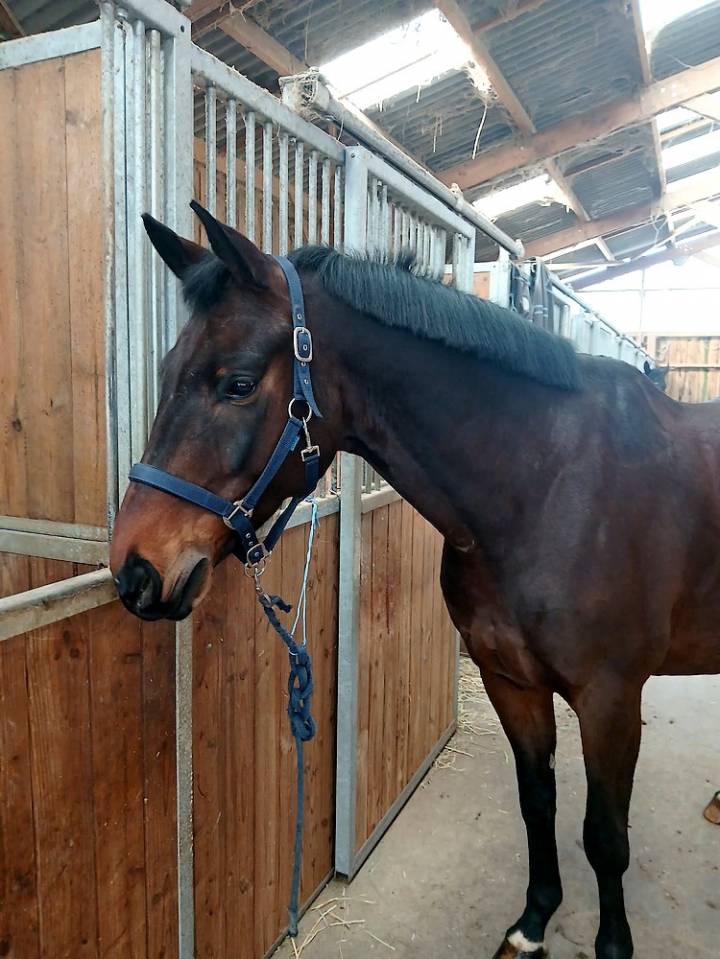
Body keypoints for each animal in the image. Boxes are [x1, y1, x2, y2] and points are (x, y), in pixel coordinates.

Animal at [110, 205, 720, 959]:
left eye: (240, 382)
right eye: (169, 370)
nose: (135, 570)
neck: (547, 485)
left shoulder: (611, 699)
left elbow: (606, 838)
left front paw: (610, 945)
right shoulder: (510, 681)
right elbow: (537, 801)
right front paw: (531, 923)